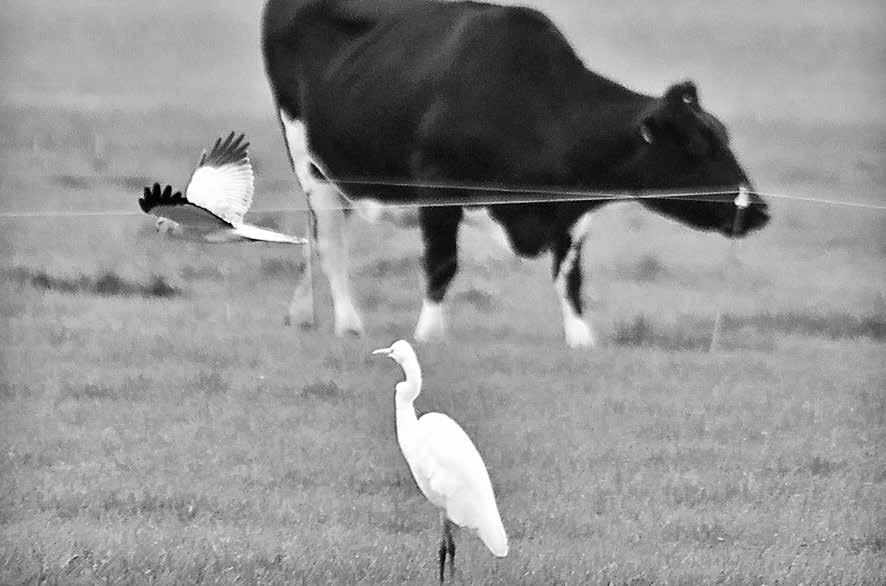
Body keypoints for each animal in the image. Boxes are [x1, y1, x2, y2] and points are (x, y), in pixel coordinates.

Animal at [262, 0, 772, 344]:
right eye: (695, 146)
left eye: (723, 137)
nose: (759, 209)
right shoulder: (438, 189)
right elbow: (442, 264)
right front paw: (429, 333)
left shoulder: (574, 212)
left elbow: (570, 278)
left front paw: (581, 340)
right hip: (310, 167)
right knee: (330, 244)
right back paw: (348, 323)